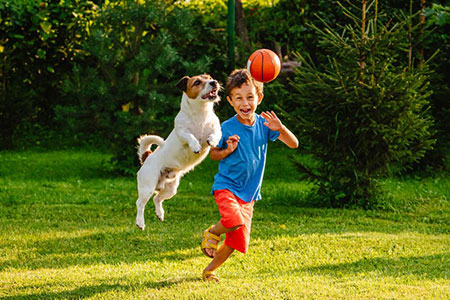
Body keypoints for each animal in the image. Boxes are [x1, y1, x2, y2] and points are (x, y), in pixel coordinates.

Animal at [136, 74, 222, 230]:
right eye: (197, 82)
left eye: (209, 77)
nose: (214, 82)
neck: (201, 113)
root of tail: (147, 158)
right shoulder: (182, 132)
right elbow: (190, 136)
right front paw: (195, 145)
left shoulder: (217, 129)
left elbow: (215, 134)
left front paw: (211, 140)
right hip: (148, 186)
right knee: (140, 203)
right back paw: (140, 222)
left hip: (171, 189)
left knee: (157, 198)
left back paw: (160, 214)